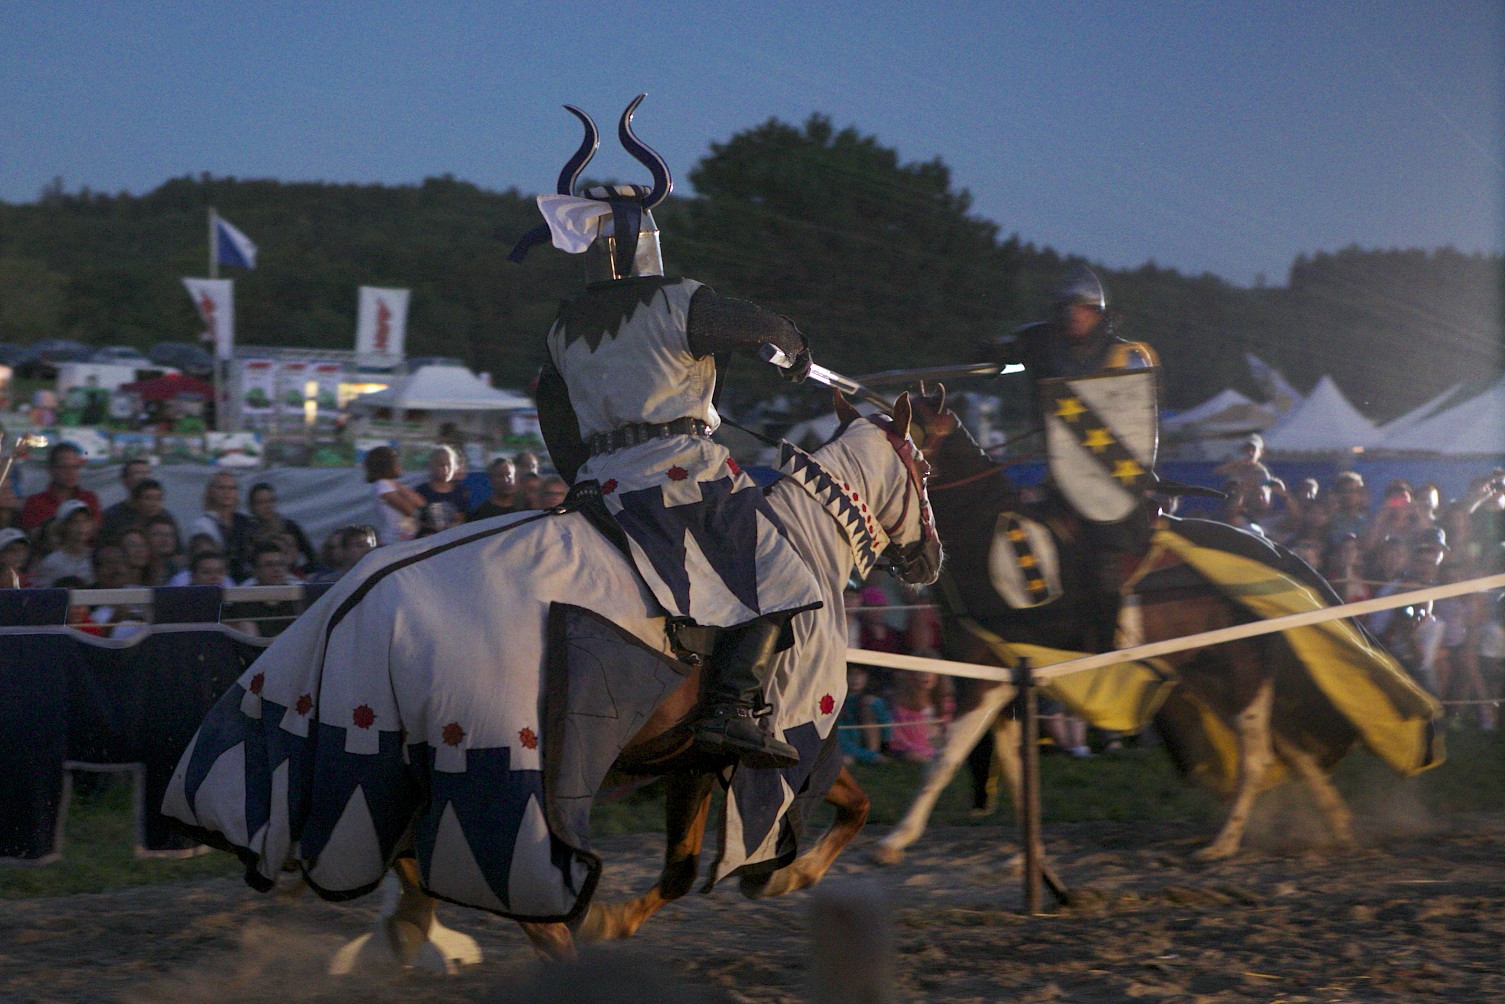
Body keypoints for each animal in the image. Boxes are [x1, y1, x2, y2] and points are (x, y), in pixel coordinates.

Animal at [167, 388, 939, 963]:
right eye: (925, 470)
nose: (932, 557)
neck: (806, 539)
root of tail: (358, 605)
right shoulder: (785, 740)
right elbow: (842, 808)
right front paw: (787, 876)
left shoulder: (692, 755)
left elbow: (685, 865)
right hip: (502, 767)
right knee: (519, 896)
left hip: (394, 756)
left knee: (409, 856)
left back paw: (413, 928)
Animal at [866, 385, 1438, 867]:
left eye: (911, 437)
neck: (985, 535)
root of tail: (1279, 553)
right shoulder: (1002, 677)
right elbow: (1011, 765)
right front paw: (1026, 856)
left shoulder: (982, 673)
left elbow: (944, 759)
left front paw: (895, 842)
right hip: (1212, 676)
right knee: (1291, 748)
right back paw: (1337, 827)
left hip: (1241, 672)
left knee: (1258, 757)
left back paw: (1224, 843)